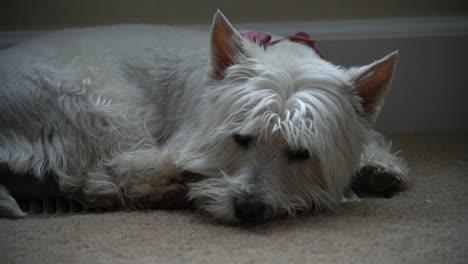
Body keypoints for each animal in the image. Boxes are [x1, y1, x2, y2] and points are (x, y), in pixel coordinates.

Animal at [0, 11, 406, 223]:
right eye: (240, 138)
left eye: (301, 153)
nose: (248, 209)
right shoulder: (183, 141)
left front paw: (380, 167)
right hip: (104, 107)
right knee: (101, 181)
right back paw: (170, 190)